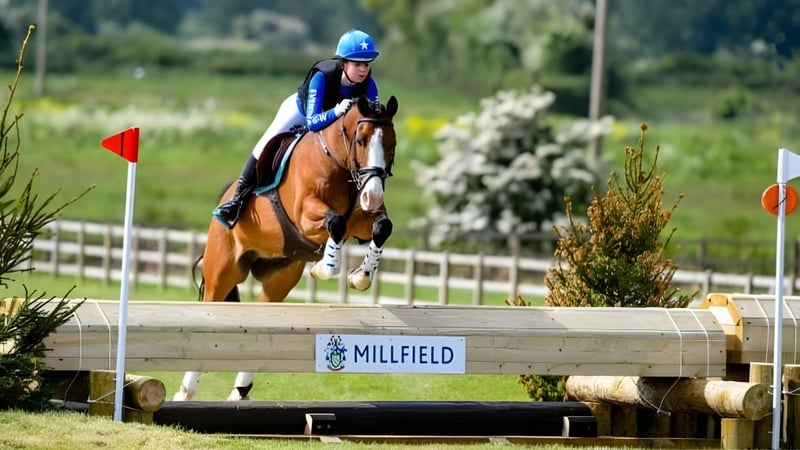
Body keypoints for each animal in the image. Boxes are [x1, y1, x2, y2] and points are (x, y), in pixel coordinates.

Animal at [173, 95, 399, 401]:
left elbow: (381, 227)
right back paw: (185, 392)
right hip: (223, 271)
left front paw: (361, 276)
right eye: (361, 141)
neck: (338, 161)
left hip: (279, 277)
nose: (372, 196)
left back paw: (239, 392)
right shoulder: (306, 215)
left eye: (392, 145)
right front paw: (324, 267)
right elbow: (336, 223)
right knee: (210, 307)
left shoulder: (363, 218)